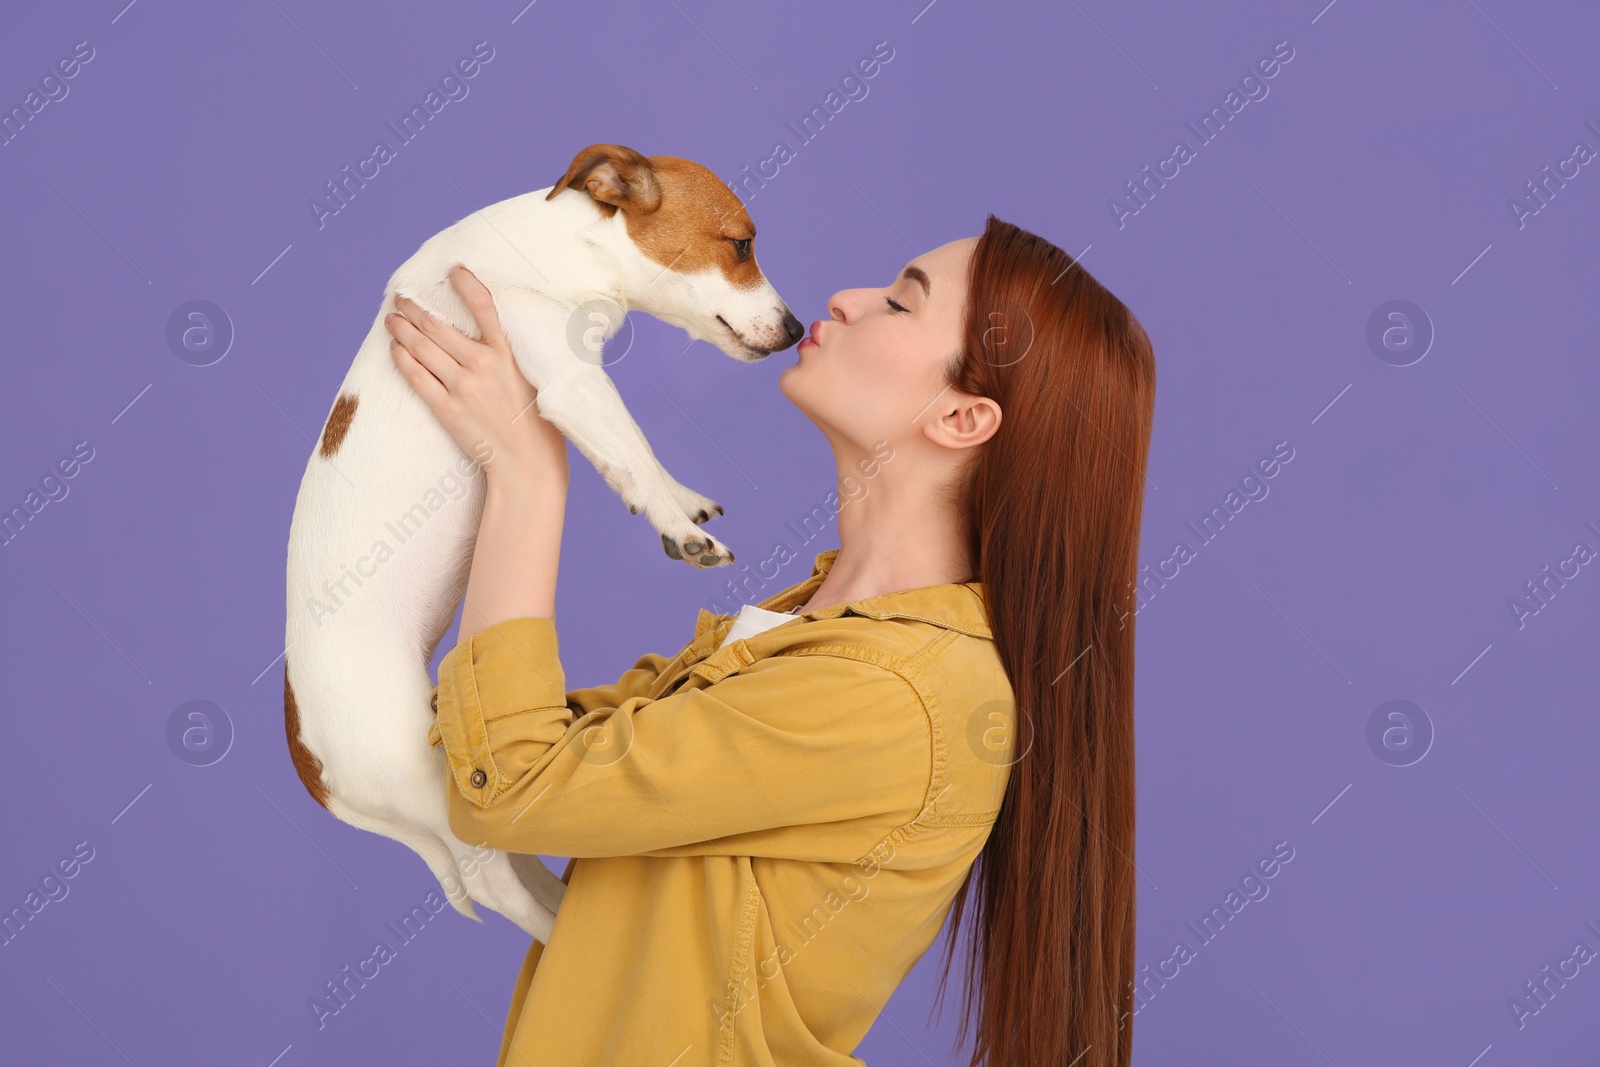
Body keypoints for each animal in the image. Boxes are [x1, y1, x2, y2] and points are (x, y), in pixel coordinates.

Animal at [283, 143, 806, 940]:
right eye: (742, 244)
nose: (798, 327)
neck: (563, 250)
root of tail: (307, 756)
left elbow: (633, 458)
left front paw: (681, 501)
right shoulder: (570, 381)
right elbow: (633, 446)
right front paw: (680, 528)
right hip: (437, 793)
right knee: (498, 881)